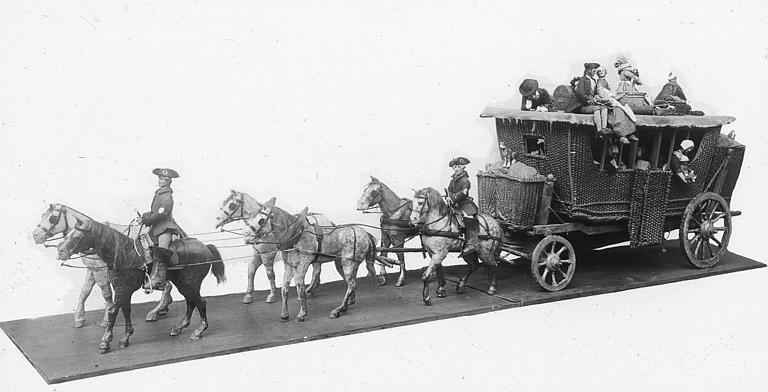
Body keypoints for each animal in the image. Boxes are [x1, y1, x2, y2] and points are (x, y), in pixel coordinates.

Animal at [56, 219, 225, 354]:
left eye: (77, 236)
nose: (60, 251)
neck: (123, 255)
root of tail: (206, 247)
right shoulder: (123, 290)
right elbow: (125, 310)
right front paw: (125, 337)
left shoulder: (122, 290)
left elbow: (112, 311)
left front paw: (105, 341)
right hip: (184, 285)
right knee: (191, 303)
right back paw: (179, 327)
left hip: (191, 284)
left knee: (200, 303)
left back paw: (198, 331)